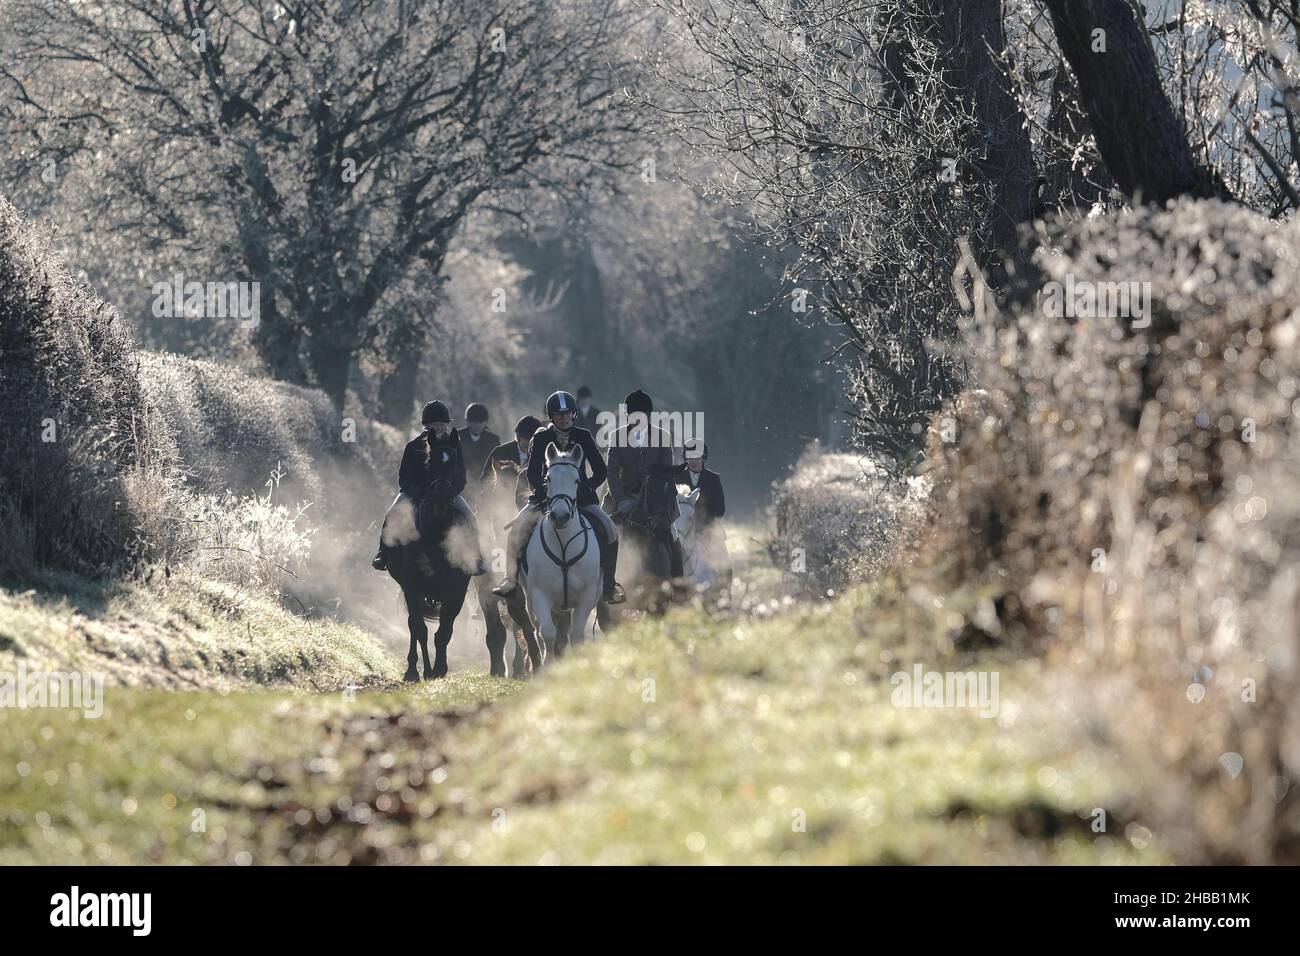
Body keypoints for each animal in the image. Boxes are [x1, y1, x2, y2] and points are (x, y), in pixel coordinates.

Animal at [517, 447, 603, 658]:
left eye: (577, 481)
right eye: (548, 479)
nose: (560, 516)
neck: (564, 544)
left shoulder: (587, 596)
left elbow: (577, 636)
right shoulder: (539, 594)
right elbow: (548, 633)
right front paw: (549, 663)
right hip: (530, 599)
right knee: (539, 631)